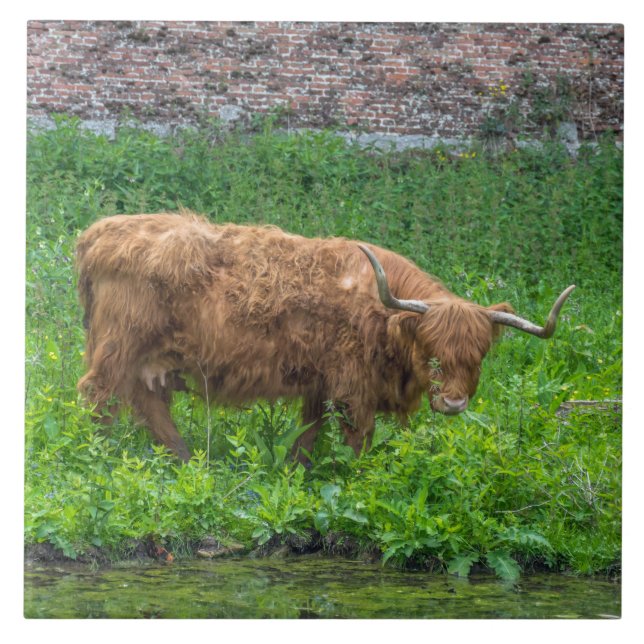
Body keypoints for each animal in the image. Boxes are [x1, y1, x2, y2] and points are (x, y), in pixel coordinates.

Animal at [75, 212, 575, 463]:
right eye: (432, 352)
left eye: (479, 354)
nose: (453, 403)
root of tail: (99, 232)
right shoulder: (353, 385)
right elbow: (359, 439)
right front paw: (359, 480)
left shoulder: (319, 383)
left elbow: (307, 436)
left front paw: (295, 473)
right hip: (118, 346)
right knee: (98, 395)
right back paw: (98, 456)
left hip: (149, 360)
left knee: (148, 405)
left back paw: (186, 459)